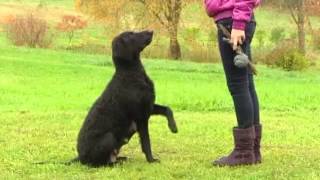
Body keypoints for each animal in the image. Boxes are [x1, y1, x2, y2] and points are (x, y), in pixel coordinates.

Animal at [76, 30, 179, 167]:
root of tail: (80, 158)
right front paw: (151, 160)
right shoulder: (141, 117)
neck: (131, 74)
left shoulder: (148, 107)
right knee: (100, 164)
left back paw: (121, 159)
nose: (151, 31)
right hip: (108, 138)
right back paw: (115, 164)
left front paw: (173, 127)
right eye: (130, 35)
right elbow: (146, 142)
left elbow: (168, 109)